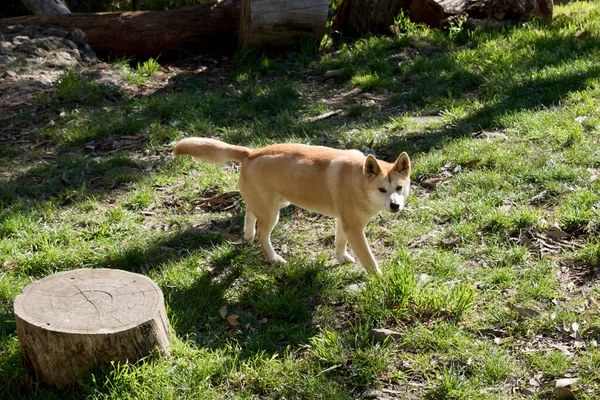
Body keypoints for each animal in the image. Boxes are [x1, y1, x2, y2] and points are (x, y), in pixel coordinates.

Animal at [171, 138, 410, 276]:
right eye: (382, 189)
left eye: (399, 187)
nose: (395, 205)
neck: (359, 181)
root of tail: (250, 153)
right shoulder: (354, 228)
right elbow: (369, 259)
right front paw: (379, 280)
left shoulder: (345, 222)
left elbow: (340, 243)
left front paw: (342, 259)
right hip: (272, 213)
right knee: (262, 234)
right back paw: (273, 258)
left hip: (272, 203)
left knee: (249, 214)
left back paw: (247, 237)